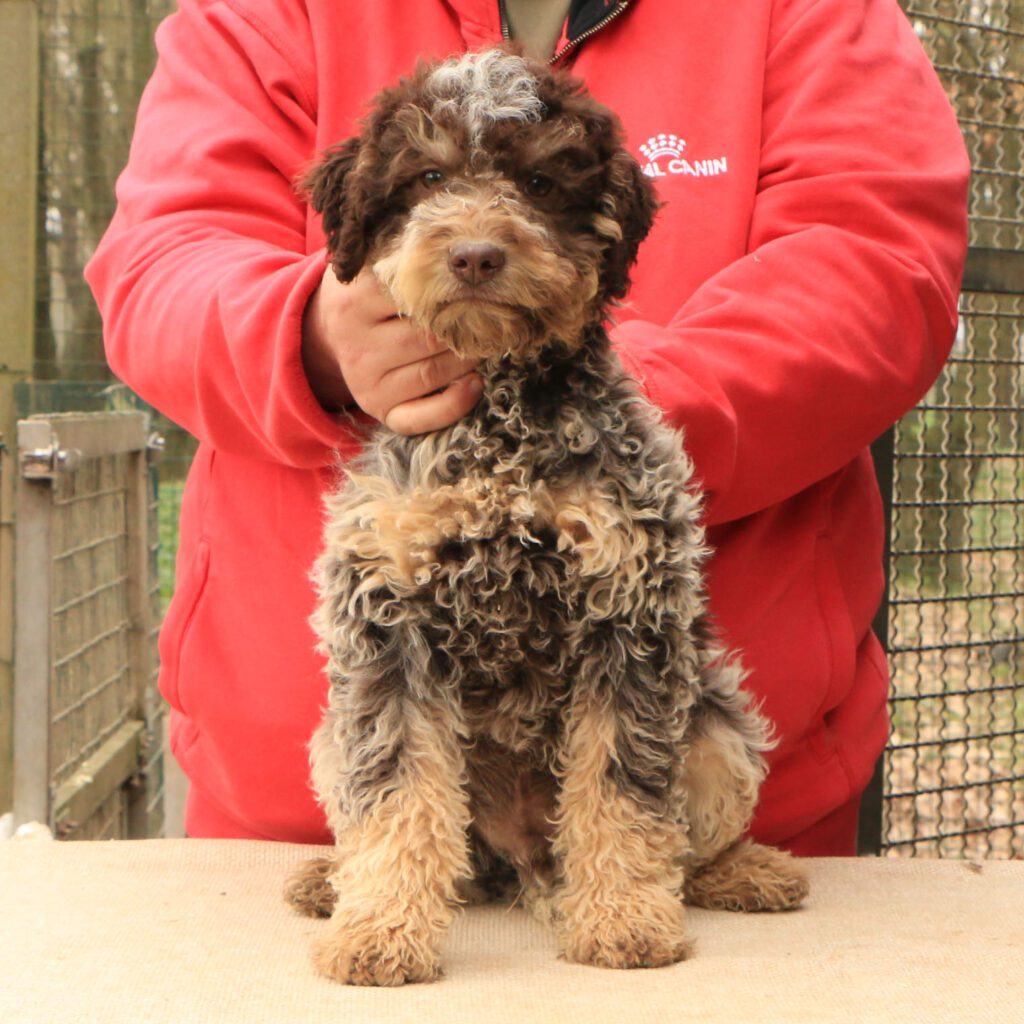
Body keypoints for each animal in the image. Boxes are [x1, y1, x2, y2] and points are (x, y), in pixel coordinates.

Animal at [286, 48, 806, 983]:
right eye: (427, 177)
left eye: (538, 180)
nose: (476, 254)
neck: (499, 429)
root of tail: (521, 862)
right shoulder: (388, 626)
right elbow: (398, 794)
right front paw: (379, 929)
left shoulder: (626, 617)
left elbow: (620, 789)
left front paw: (625, 920)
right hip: (330, 738)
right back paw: (332, 878)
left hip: (714, 725)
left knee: (689, 838)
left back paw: (744, 872)